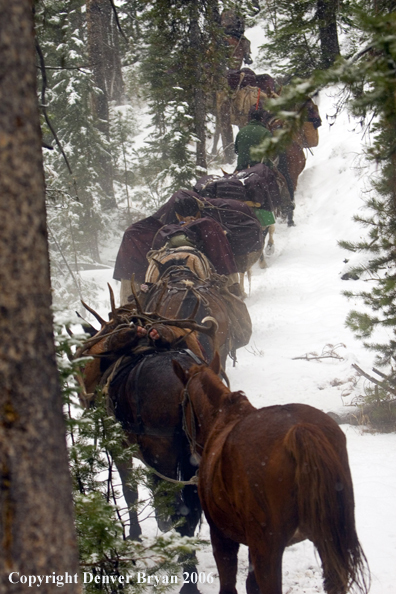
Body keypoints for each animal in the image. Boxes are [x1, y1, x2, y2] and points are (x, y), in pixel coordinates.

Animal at [175, 352, 370, 592]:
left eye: (182, 402)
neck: (223, 418)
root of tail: (300, 430)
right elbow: (251, 584)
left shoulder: (222, 536)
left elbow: (229, 585)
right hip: (328, 540)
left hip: (268, 551)